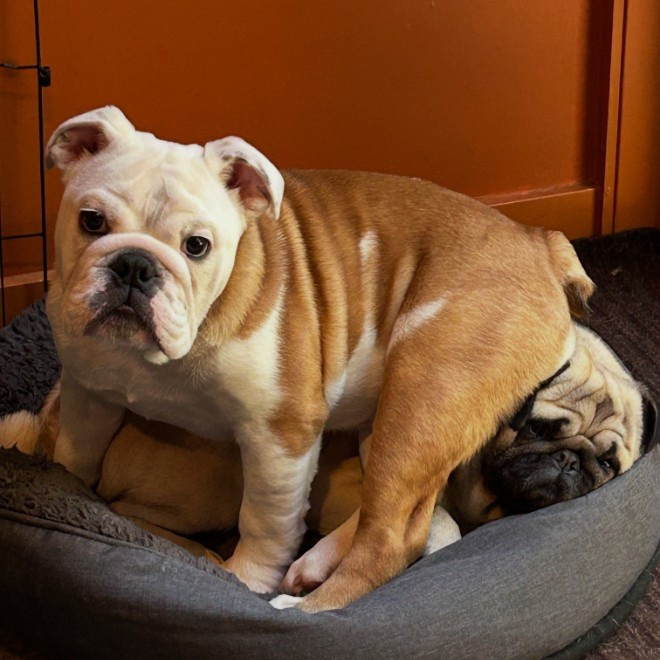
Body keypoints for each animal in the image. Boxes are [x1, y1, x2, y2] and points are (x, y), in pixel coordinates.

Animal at [44, 105, 597, 611]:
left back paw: (306, 608)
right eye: (91, 221)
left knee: (391, 537)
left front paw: (247, 578)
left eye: (197, 246)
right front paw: (63, 487)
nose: (135, 265)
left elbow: (264, 521)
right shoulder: (89, 395)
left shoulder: (280, 434)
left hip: (425, 397)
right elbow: (75, 457)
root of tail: (539, 240)